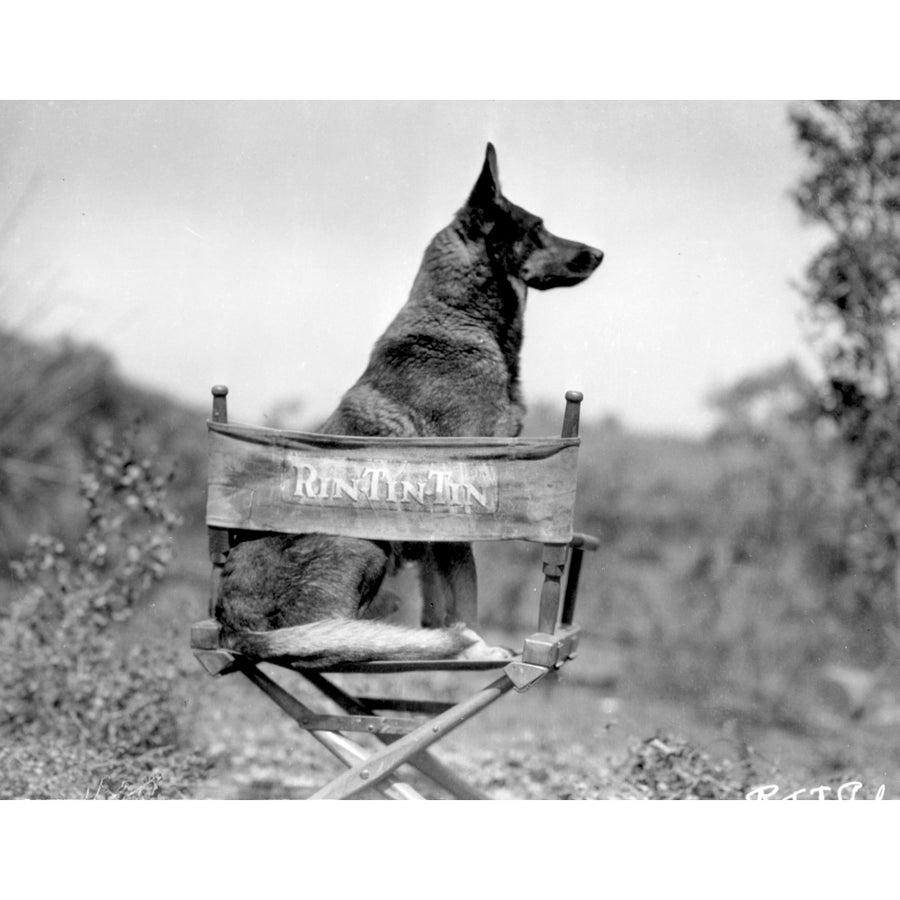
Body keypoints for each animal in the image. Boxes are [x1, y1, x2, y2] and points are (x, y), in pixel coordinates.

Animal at [214, 144, 600, 664]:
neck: (461, 316)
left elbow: (442, 600)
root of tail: (232, 627)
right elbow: (466, 596)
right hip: (367, 547)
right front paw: (473, 649)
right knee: (330, 639)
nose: (599, 254)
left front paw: (448, 642)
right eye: (537, 228)